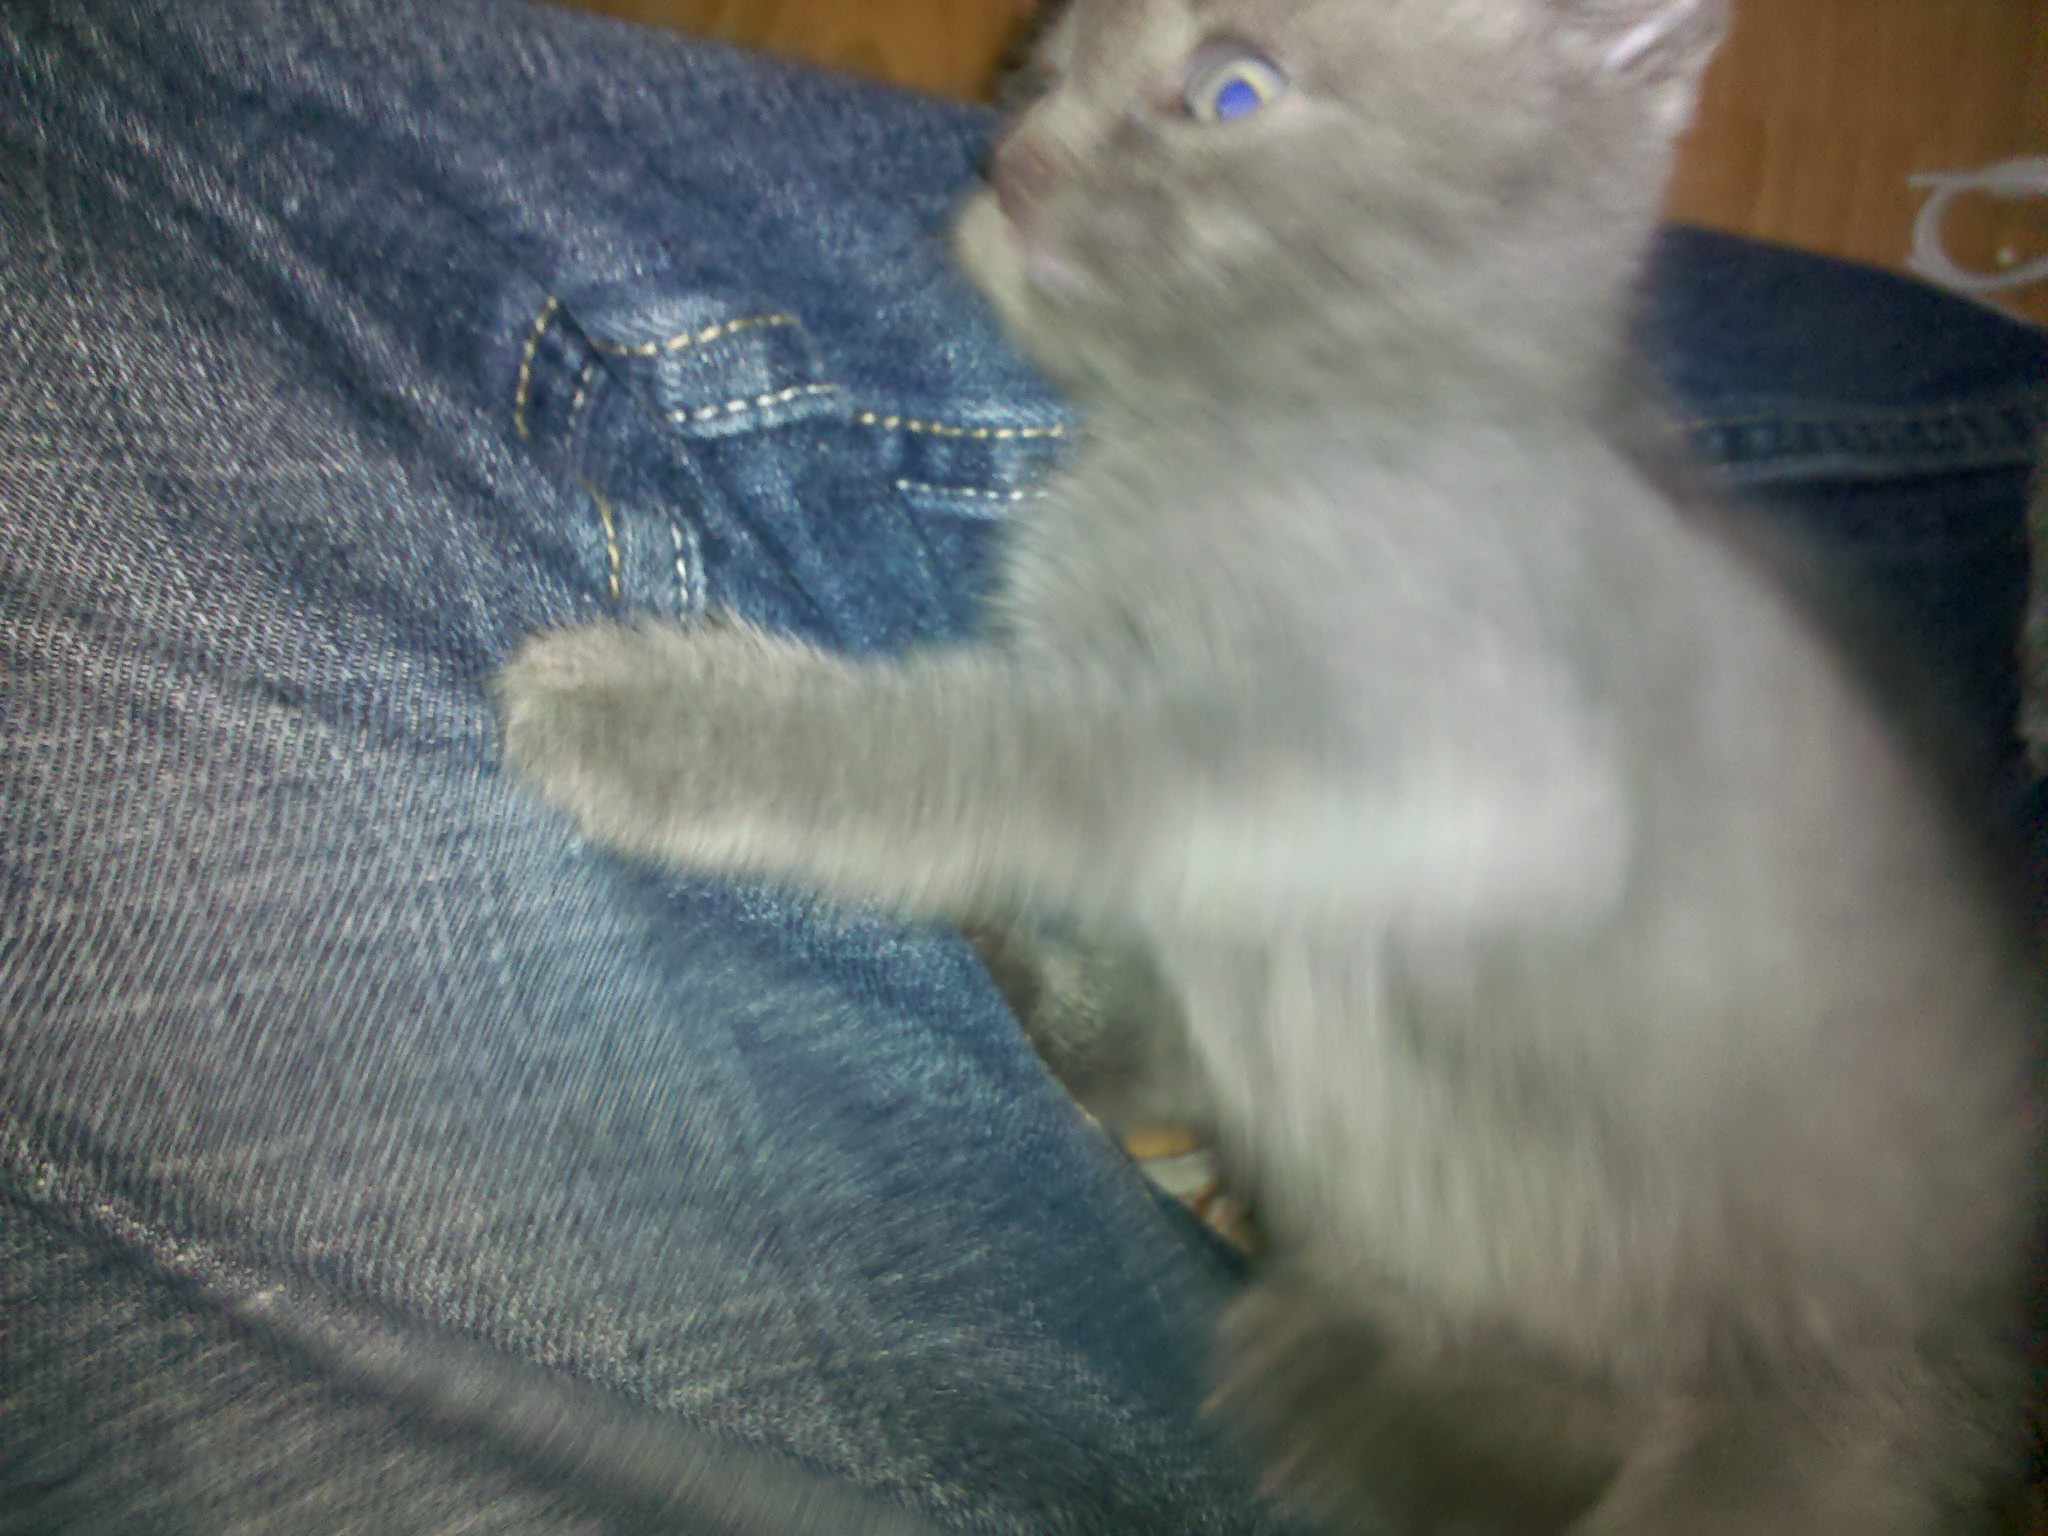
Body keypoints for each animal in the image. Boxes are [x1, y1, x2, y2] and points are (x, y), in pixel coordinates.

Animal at [496, 0, 2045, 1531]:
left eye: (1231, 90)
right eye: (1049, 67)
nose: (1017, 161)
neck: (1270, 430)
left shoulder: (1440, 767)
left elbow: (1012, 758)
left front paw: (652, 719)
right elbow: (1164, 976)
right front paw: (1069, 1012)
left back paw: (1351, 1393)